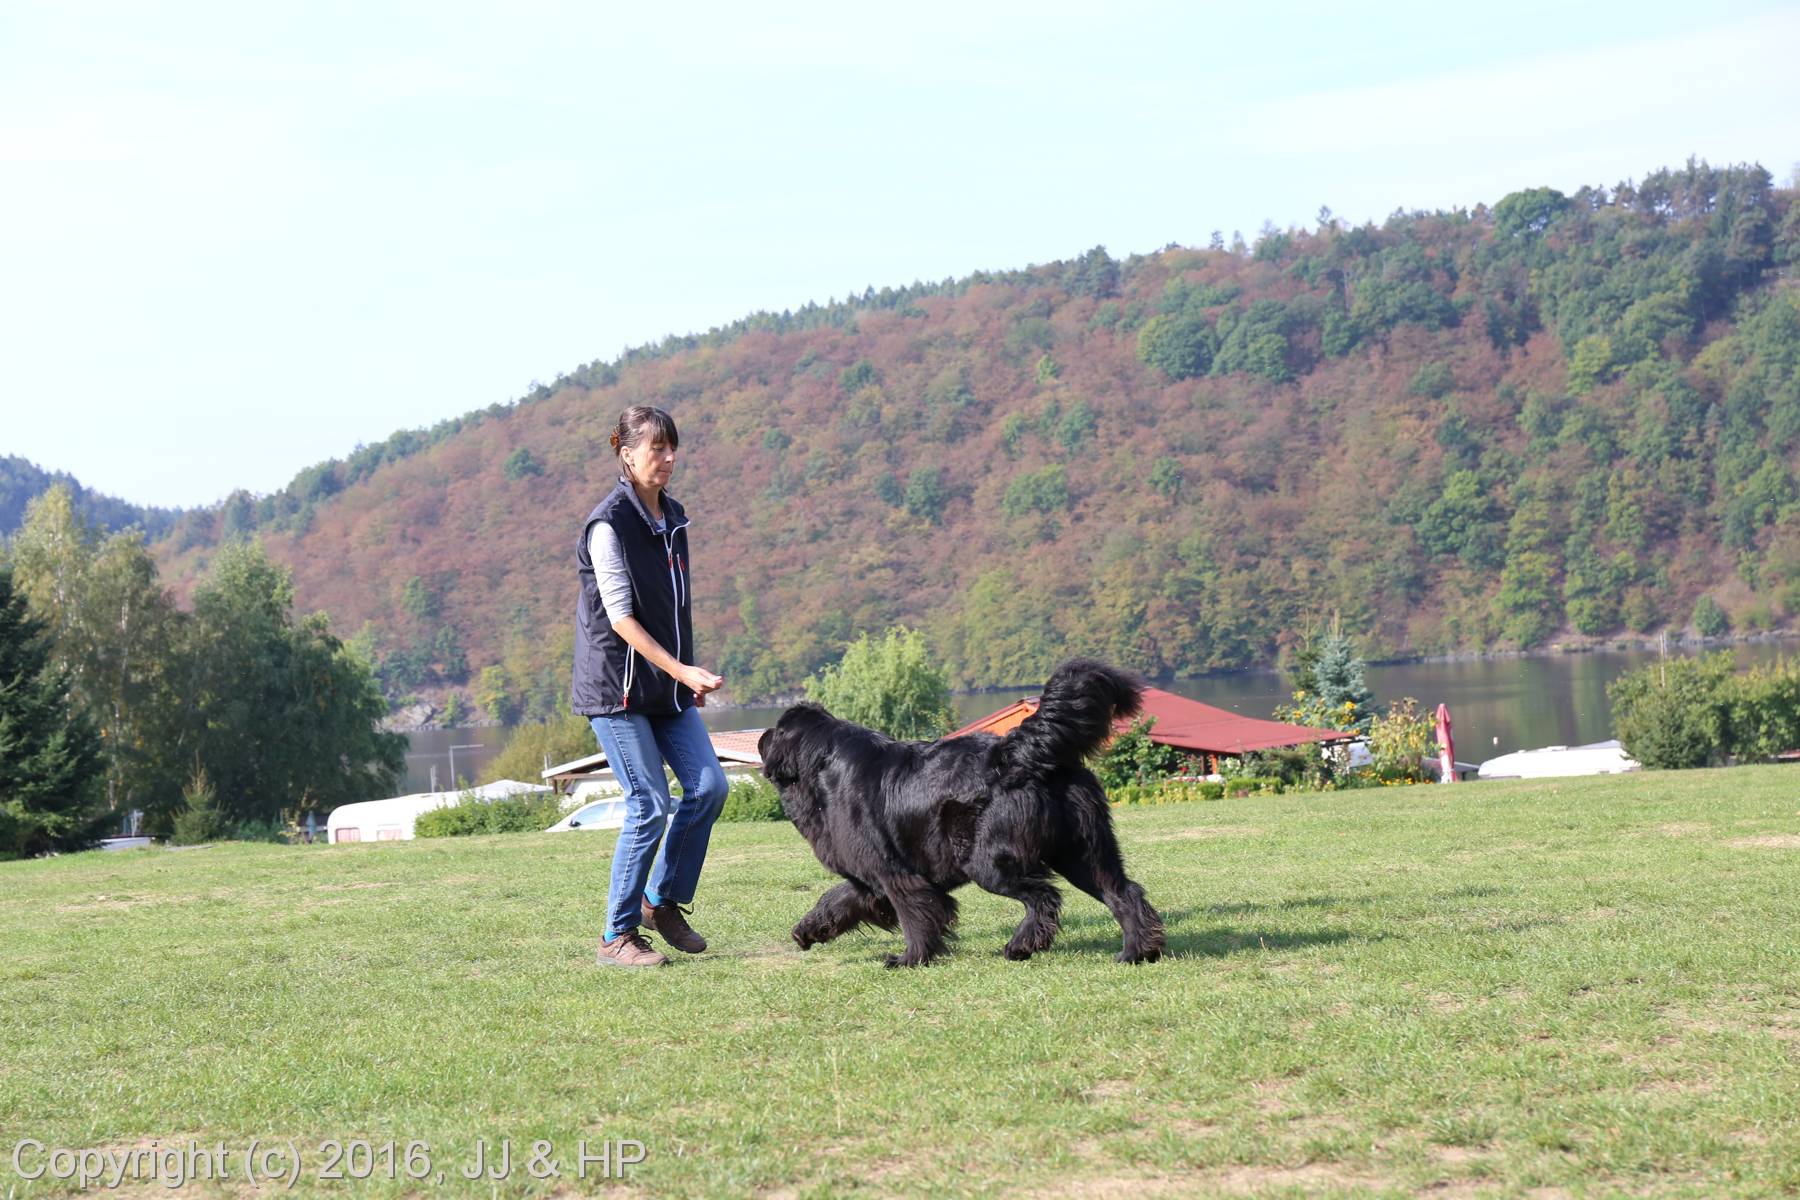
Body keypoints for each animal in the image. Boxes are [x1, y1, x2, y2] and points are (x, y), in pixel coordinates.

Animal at [756, 658, 1165, 967]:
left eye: (776, 731)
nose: (760, 735)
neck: (824, 767)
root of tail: (1016, 753)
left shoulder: (897, 874)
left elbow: (915, 915)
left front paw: (909, 959)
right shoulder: (867, 876)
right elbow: (836, 899)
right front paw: (807, 930)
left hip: (989, 858)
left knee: (1044, 896)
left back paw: (1021, 946)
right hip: (1081, 850)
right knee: (1122, 892)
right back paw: (1136, 952)